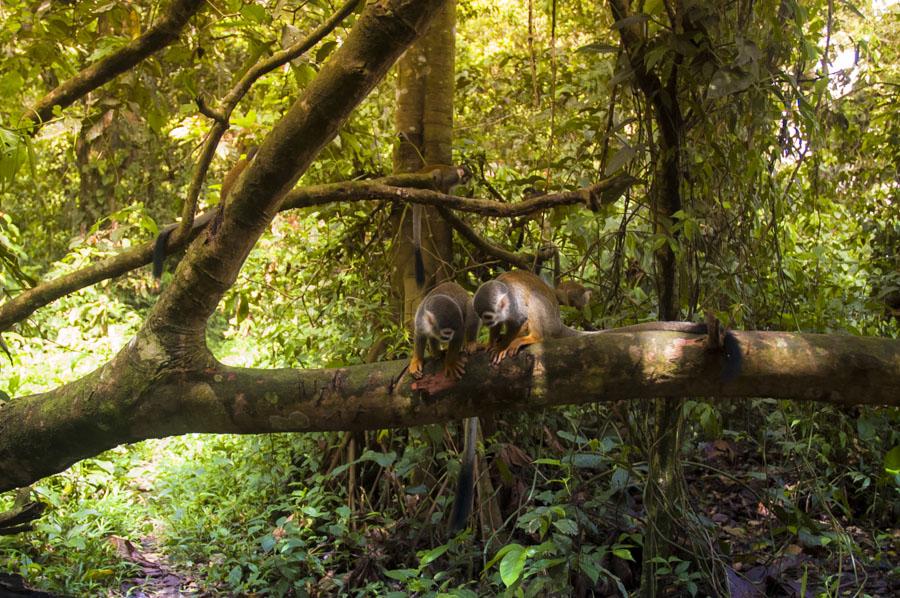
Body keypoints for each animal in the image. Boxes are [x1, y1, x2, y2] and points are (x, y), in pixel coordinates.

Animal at [410, 284, 482, 532]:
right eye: (445, 331)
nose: (447, 337)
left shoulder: (458, 325)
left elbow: (461, 332)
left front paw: (451, 360)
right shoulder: (420, 318)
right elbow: (420, 335)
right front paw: (417, 359)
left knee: (472, 312)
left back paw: (468, 344)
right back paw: (436, 352)